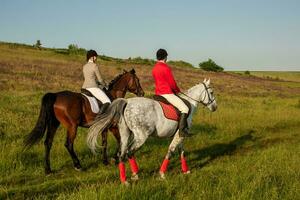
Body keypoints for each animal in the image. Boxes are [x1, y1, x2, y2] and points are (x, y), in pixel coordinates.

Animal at [88, 78, 217, 183]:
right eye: (211, 92)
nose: (215, 107)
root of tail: (127, 102)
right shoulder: (180, 135)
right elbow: (171, 151)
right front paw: (162, 173)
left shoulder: (179, 135)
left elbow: (182, 151)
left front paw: (186, 170)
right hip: (141, 136)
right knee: (130, 152)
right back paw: (135, 174)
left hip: (125, 134)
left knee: (122, 153)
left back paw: (124, 180)